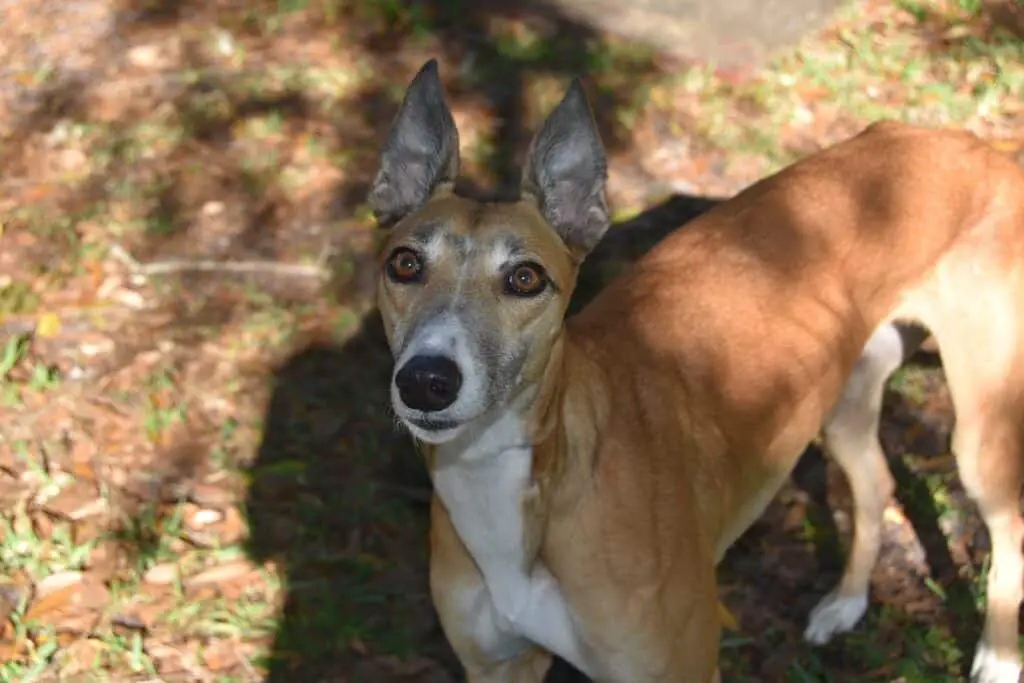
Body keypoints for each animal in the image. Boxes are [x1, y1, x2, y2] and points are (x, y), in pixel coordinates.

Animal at [368, 61, 1024, 679]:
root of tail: (974, 144)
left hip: (980, 427)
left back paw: (998, 657)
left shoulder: (683, 666)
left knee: (1008, 522)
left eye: (525, 277)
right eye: (404, 263)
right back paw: (847, 603)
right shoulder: (498, 666)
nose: (426, 381)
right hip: (845, 400)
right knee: (878, 484)